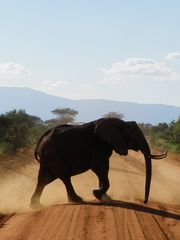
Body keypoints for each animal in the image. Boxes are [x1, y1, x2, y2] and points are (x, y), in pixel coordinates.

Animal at [29, 117, 167, 207]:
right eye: (135, 136)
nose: (145, 202)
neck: (120, 122)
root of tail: (41, 140)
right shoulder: (98, 145)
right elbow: (100, 168)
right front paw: (97, 194)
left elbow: (102, 170)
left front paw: (105, 197)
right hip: (53, 154)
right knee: (64, 177)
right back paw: (77, 200)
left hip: (49, 157)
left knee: (44, 179)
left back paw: (35, 206)